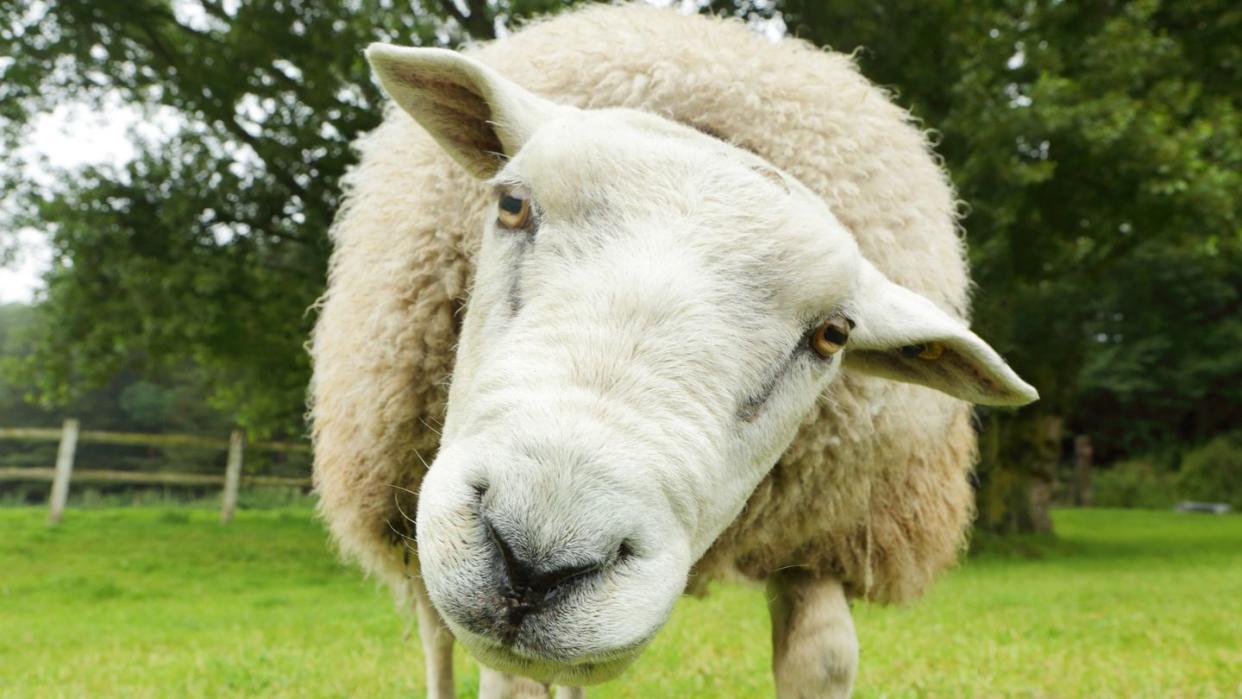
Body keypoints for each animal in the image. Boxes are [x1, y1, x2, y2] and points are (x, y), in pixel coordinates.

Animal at [310, 2, 1038, 695]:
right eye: (512, 204)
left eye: (833, 335)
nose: (538, 559)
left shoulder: (821, 539)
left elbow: (824, 660)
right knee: (436, 635)